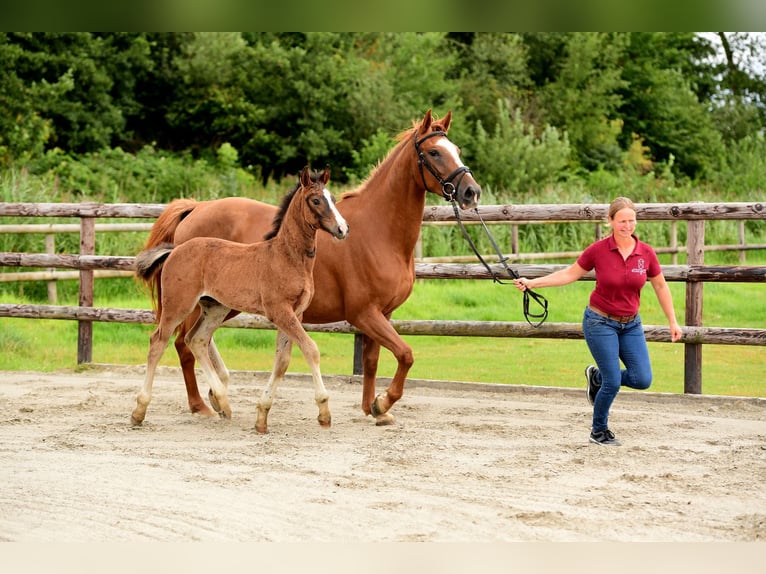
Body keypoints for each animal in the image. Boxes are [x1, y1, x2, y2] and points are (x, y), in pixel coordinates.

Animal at [131, 165, 348, 432]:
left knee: (196, 340)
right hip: (178, 306)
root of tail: (175, 250)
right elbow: (311, 349)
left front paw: (262, 416)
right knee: (158, 342)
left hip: (215, 308)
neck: (287, 256)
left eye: (333, 199)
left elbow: (282, 361)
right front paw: (324, 411)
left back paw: (222, 402)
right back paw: (139, 411)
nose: (342, 229)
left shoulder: (295, 313)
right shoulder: (279, 311)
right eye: (316, 200)